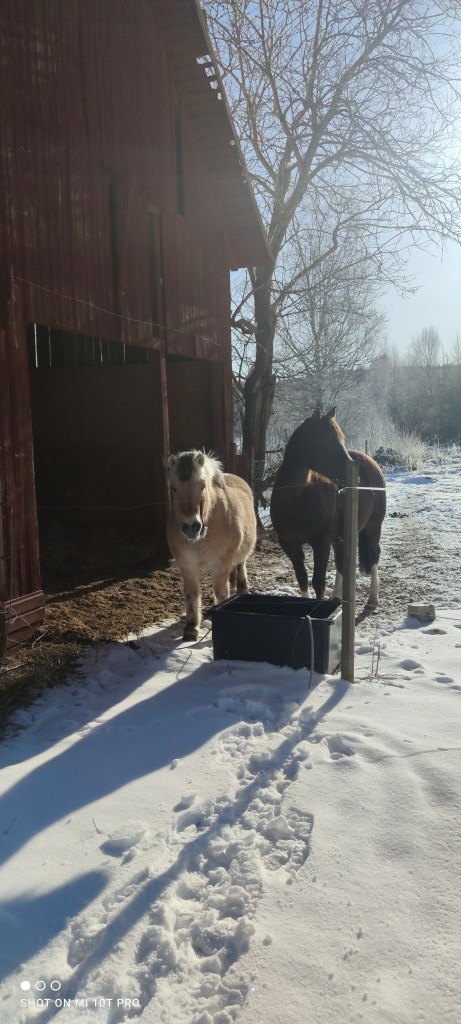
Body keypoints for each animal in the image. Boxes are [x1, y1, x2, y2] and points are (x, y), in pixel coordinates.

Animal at [167, 449, 257, 640]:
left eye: (202, 485)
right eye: (174, 487)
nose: (191, 527)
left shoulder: (220, 565)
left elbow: (221, 593)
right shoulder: (188, 566)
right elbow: (192, 594)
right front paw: (192, 627)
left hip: (240, 555)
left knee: (240, 565)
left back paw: (242, 589)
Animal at [270, 408, 386, 608]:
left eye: (341, 440)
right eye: (324, 441)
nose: (353, 477)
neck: (296, 498)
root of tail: (372, 463)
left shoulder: (320, 543)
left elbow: (318, 582)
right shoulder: (289, 545)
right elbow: (302, 578)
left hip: (373, 526)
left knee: (374, 554)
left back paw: (373, 598)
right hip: (341, 536)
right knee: (340, 563)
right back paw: (337, 597)